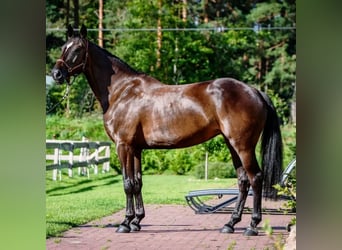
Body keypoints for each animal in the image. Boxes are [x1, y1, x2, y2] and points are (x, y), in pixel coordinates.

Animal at [52, 25, 282, 236]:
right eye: (63, 47)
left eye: (78, 49)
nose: (56, 74)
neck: (122, 91)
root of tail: (255, 91)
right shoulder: (136, 149)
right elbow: (137, 182)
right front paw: (137, 221)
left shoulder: (123, 146)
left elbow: (127, 183)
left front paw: (125, 223)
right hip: (232, 144)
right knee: (243, 181)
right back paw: (230, 224)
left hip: (243, 146)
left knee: (256, 178)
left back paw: (252, 226)